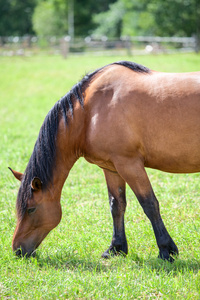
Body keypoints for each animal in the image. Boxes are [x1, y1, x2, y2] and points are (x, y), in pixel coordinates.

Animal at [10, 60, 200, 260]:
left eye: (31, 209)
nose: (18, 250)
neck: (90, 111)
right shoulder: (111, 168)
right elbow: (116, 205)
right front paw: (116, 248)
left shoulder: (129, 164)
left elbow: (149, 204)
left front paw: (166, 250)